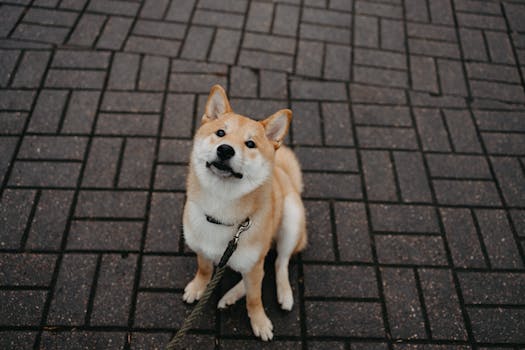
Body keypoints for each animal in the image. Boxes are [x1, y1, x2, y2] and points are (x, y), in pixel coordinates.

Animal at [182, 84, 308, 340]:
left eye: (250, 144)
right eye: (220, 133)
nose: (225, 150)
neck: (220, 209)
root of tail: (287, 178)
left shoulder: (253, 263)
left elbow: (254, 298)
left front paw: (259, 321)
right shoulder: (201, 248)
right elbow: (204, 269)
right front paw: (199, 286)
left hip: (291, 220)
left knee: (278, 263)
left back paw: (283, 294)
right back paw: (230, 296)